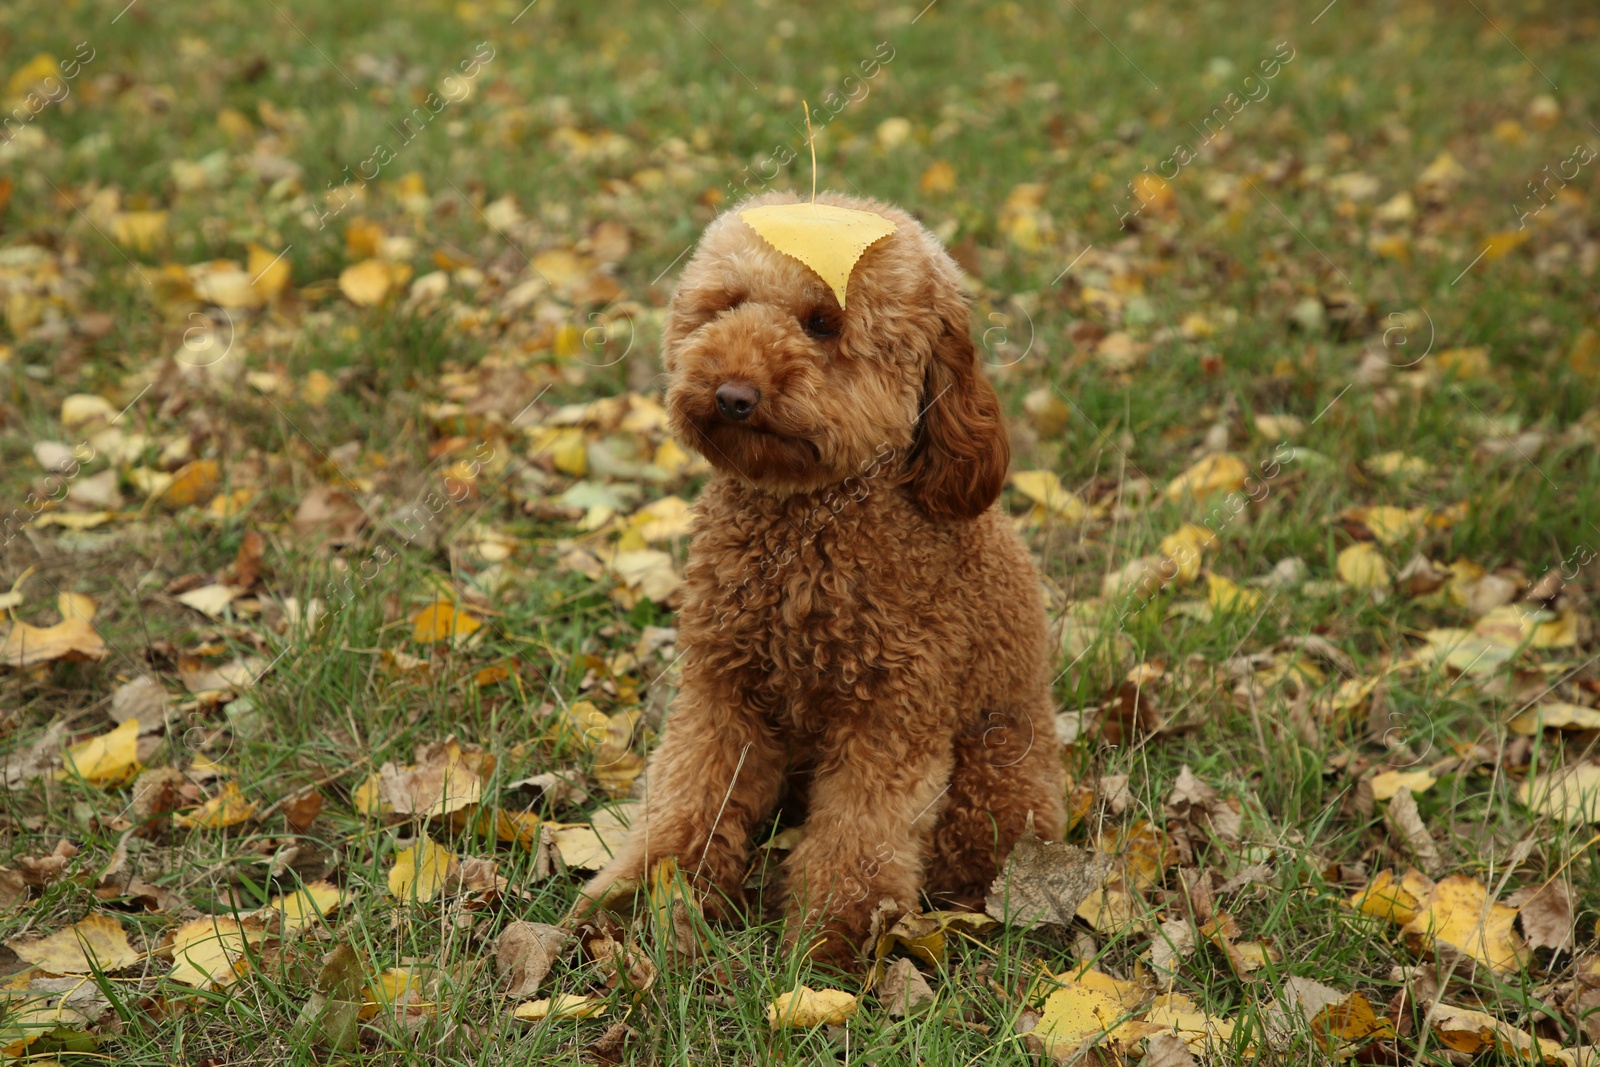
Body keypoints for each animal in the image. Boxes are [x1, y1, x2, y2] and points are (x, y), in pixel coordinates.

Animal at [579, 191, 1062, 966]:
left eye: (822, 324)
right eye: (727, 304)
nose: (733, 394)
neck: (804, 527)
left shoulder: (893, 718)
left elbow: (859, 840)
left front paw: (831, 945)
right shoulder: (722, 690)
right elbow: (688, 796)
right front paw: (643, 898)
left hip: (995, 781)